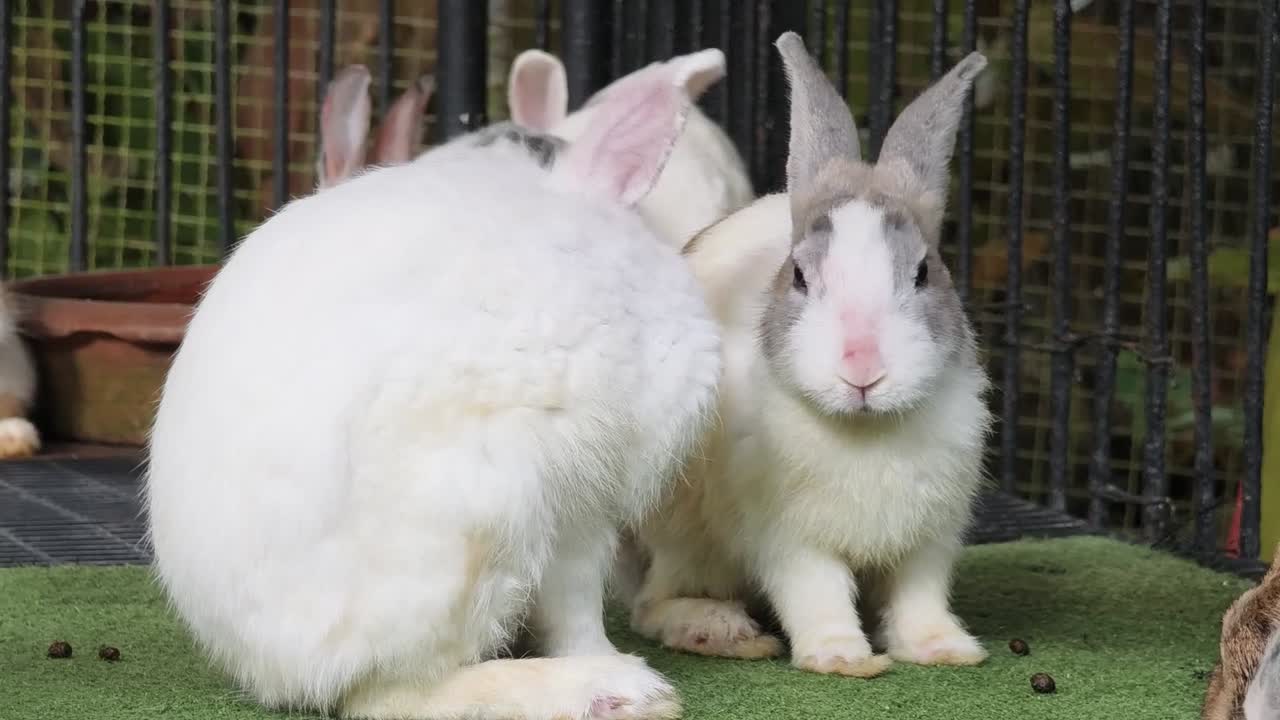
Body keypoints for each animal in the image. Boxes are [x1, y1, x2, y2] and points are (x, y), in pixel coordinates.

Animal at [143, 52, 721, 720]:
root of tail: (275, 667)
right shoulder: (583, 499)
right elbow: (577, 606)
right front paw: (613, 666)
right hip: (489, 519)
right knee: (395, 693)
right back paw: (606, 690)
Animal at [626, 32, 991, 679]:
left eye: (924, 273)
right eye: (799, 276)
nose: (862, 369)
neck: (865, 432)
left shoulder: (930, 539)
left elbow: (919, 595)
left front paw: (943, 649)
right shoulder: (791, 539)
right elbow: (815, 592)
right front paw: (843, 658)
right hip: (677, 529)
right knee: (651, 603)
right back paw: (720, 630)